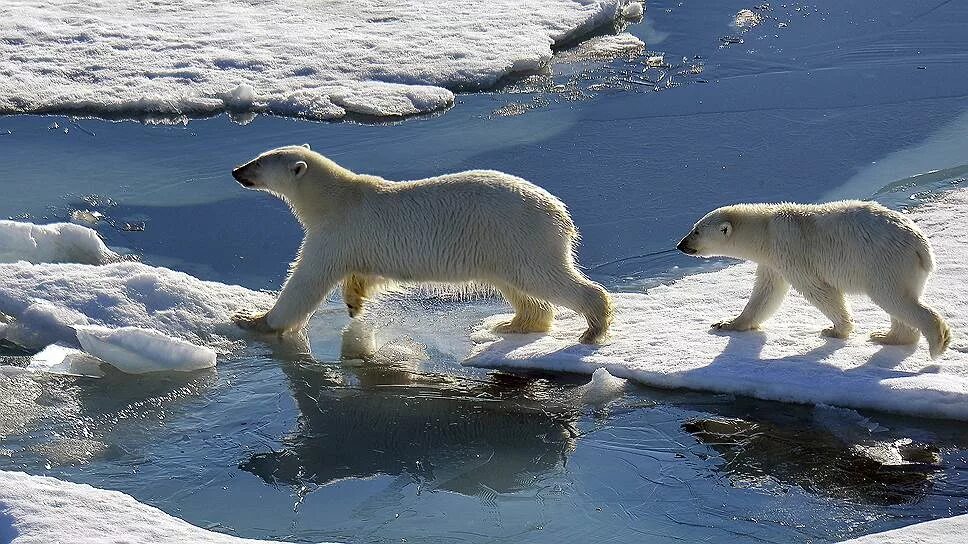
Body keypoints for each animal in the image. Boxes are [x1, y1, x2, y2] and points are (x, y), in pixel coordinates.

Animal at [229, 144, 612, 344]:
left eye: (259, 162)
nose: (236, 170)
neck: (335, 199)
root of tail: (560, 213)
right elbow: (366, 273)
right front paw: (354, 300)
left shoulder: (335, 233)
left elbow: (304, 283)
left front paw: (253, 320)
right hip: (501, 246)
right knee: (518, 287)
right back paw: (512, 324)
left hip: (520, 235)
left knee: (544, 279)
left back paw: (592, 328)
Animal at [676, 200, 948, 356]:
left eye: (696, 231)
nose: (680, 245)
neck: (766, 228)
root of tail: (921, 246)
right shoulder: (772, 260)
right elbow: (766, 293)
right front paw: (727, 324)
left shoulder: (790, 249)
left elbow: (818, 289)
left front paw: (835, 330)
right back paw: (888, 337)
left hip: (884, 261)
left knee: (893, 297)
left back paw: (937, 341)